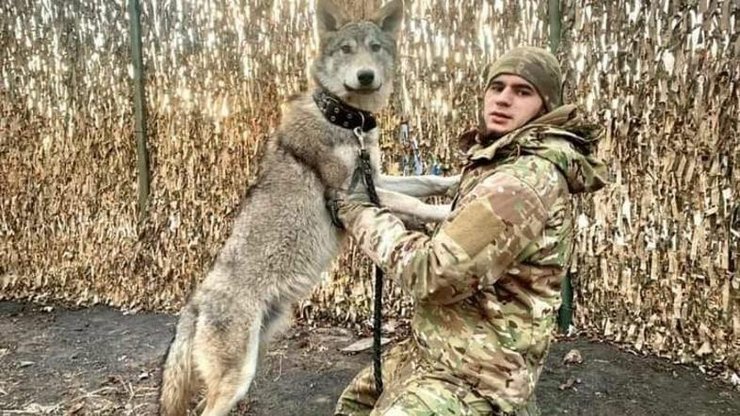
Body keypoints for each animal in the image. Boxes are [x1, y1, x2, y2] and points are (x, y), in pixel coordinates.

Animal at [158, 1, 458, 415]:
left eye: (375, 48)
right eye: (346, 49)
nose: (366, 76)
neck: (347, 122)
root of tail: (194, 305)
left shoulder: (377, 179)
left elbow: (426, 183)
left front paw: (461, 179)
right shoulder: (353, 195)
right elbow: (416, 202)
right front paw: (449, 212)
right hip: (237, 376)